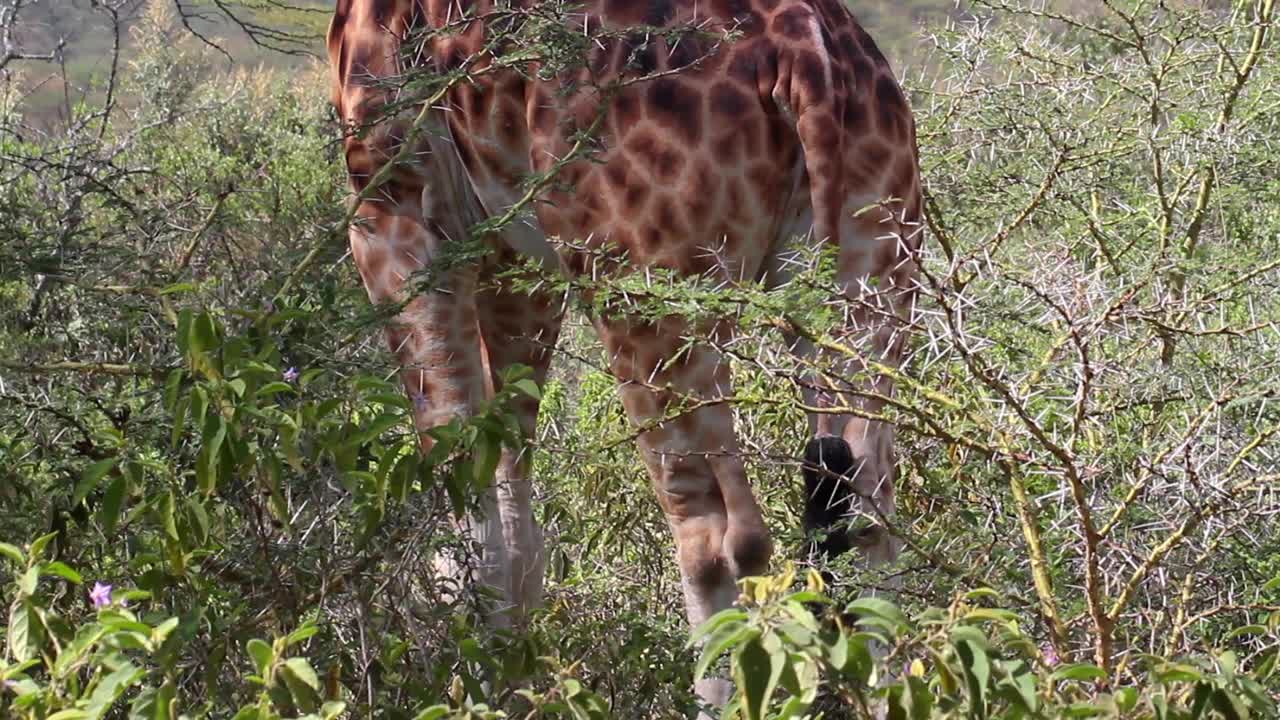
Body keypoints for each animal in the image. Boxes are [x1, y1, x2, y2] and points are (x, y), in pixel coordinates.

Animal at [325, 0, 916, 707]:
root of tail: (806, 48)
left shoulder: (398, 215)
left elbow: (463, 497)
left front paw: (475, 689)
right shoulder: (512, 257)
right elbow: (512, 500)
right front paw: (515, 680)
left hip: (649, 296)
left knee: (719, 535)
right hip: (868, 274)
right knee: (869, 517)